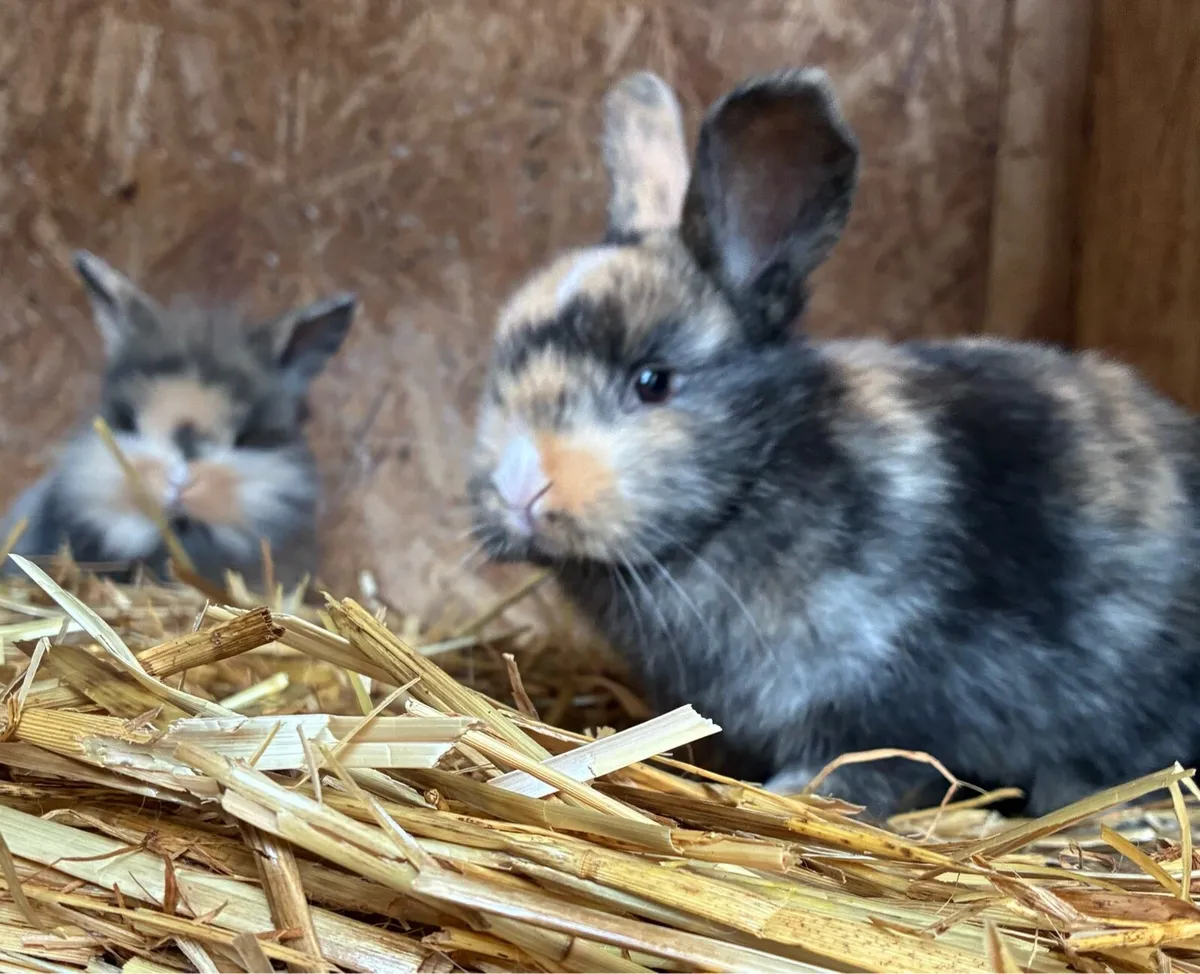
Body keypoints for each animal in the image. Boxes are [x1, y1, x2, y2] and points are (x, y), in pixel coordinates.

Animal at [467, 66, 1200, 820]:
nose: (520, 492)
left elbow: (862, 767)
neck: (751, 484)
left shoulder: (883, 687)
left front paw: (789, 796)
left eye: (653, 381)